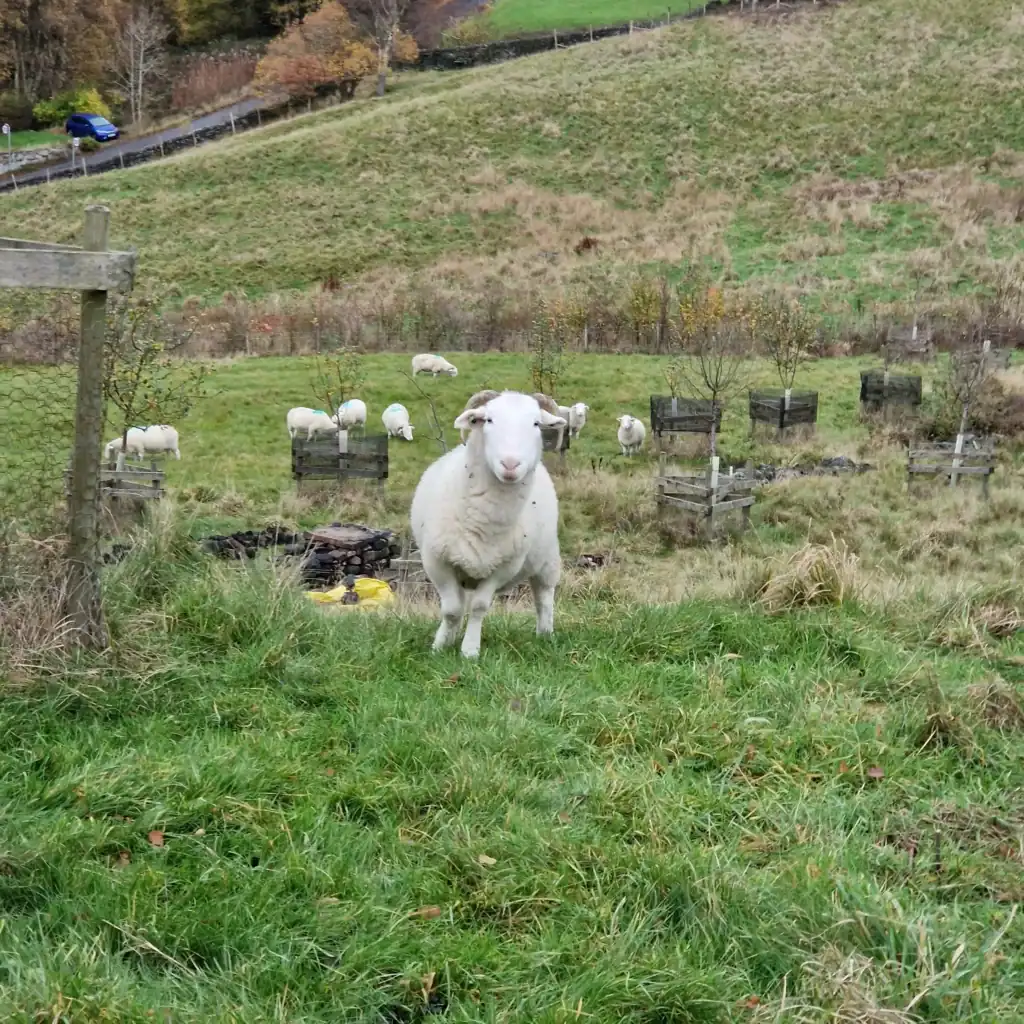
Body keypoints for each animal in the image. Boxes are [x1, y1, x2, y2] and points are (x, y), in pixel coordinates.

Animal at [410, 389, 567, 658]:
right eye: (488, 420)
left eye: (536, 423)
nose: (510, 464)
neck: (483, 521)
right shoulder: (437, 562)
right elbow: (452, 610)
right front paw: (440, 647)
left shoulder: (503, 568)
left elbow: (479, 607)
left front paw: (470, 651)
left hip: (547, 558)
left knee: (544, 597)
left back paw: (545, 635)